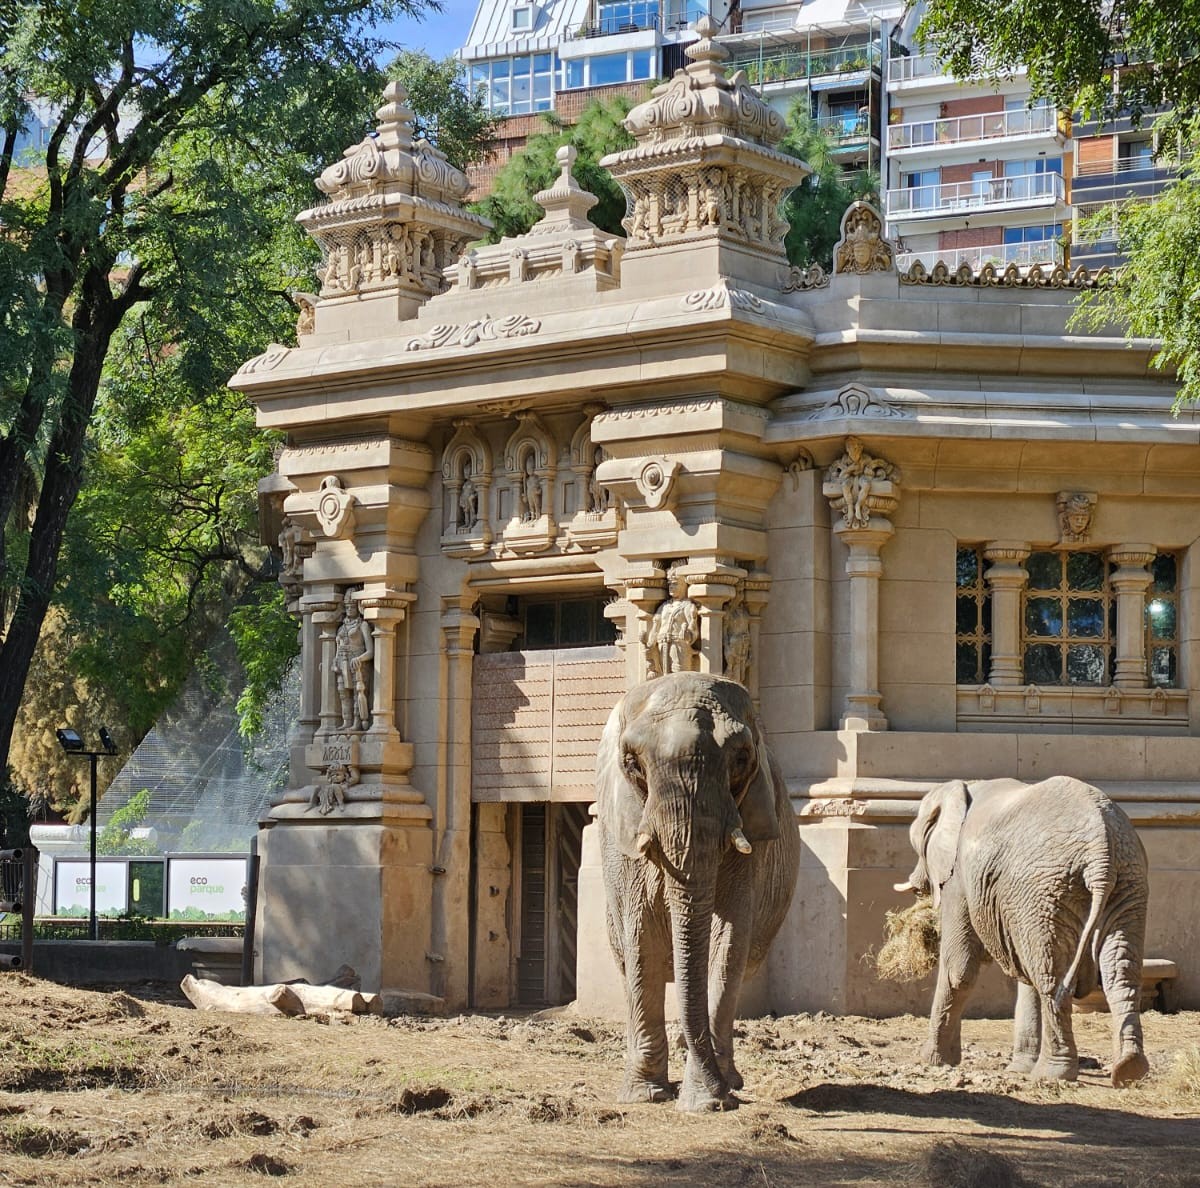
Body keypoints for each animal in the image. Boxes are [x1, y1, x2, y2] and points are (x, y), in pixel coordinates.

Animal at [595, 671, 800, 1112]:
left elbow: (728, 941)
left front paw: (707, 1099)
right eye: (632, 763)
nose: (720, 1095)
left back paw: (730, 1079)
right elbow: (642, 938)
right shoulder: (623, 835)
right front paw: (645, 1096)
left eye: (741, 759)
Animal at [894, 776, 1150, 1087]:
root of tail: (1102, 853)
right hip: (1126, 882)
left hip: (1048, 888)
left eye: (916, 842)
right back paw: (1129, 1071)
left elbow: (959, 967)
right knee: (1118, 973)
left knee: (1052, 977)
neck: (964, 788)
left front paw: (932, 1060)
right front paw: (1019, 1069)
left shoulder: (960, 879)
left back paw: (1052, 1074)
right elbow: (1024, 975)